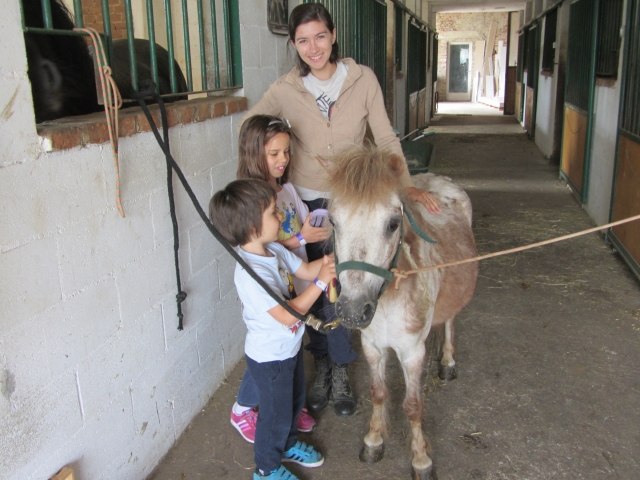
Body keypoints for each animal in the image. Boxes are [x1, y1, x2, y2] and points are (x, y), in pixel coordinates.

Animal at [328, 146, 478, 479]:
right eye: (333, 221)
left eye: (393, 224)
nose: (353, 310)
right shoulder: (372, 347)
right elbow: (377, 392)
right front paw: (373, 441)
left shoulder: (412, 354)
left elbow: (413, 406)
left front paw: (421, 459)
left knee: (450, 320)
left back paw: (447, 361)